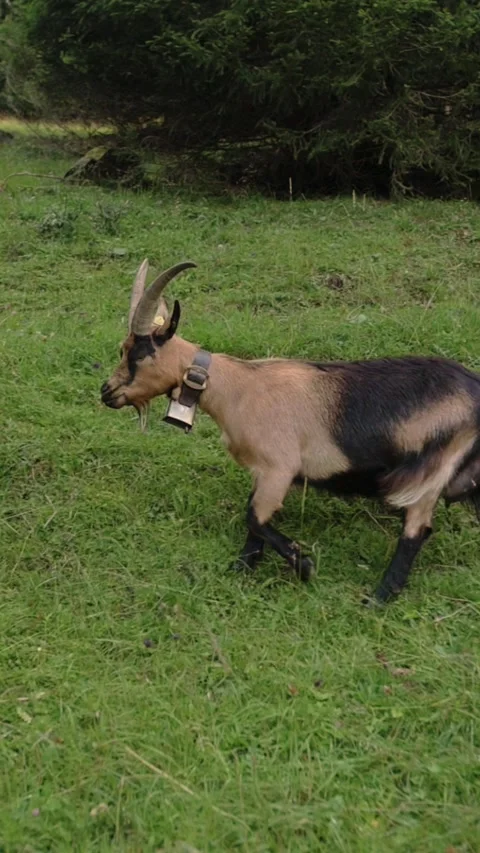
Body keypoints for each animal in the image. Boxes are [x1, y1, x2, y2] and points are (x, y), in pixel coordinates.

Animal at [101, 259, 480, 602]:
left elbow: (254, 516)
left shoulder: (279, 468)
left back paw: (379, 597)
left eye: (139, 355)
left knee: (416, 531)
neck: (239, 388)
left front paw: (304, 565)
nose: (107, 392)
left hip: (433, 467)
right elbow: (254, 518)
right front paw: (242, 568)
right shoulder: (262, 471)